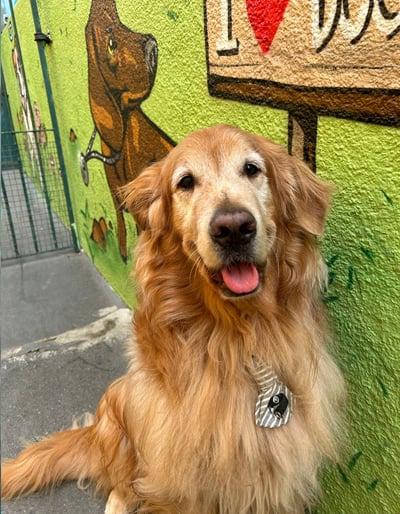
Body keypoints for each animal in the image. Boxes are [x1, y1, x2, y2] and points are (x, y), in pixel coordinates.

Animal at [2, 125, 345, 513]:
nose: (233, 227)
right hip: (121, 403)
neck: (238, 335)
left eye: (252, 169)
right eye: (186, 182)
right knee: (121, 483)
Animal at [83, 0, 174, 261]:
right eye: (111, 44)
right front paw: (123, 254)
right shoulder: (117, 199)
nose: (152, 45)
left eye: (123, 24)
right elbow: (122, 227)